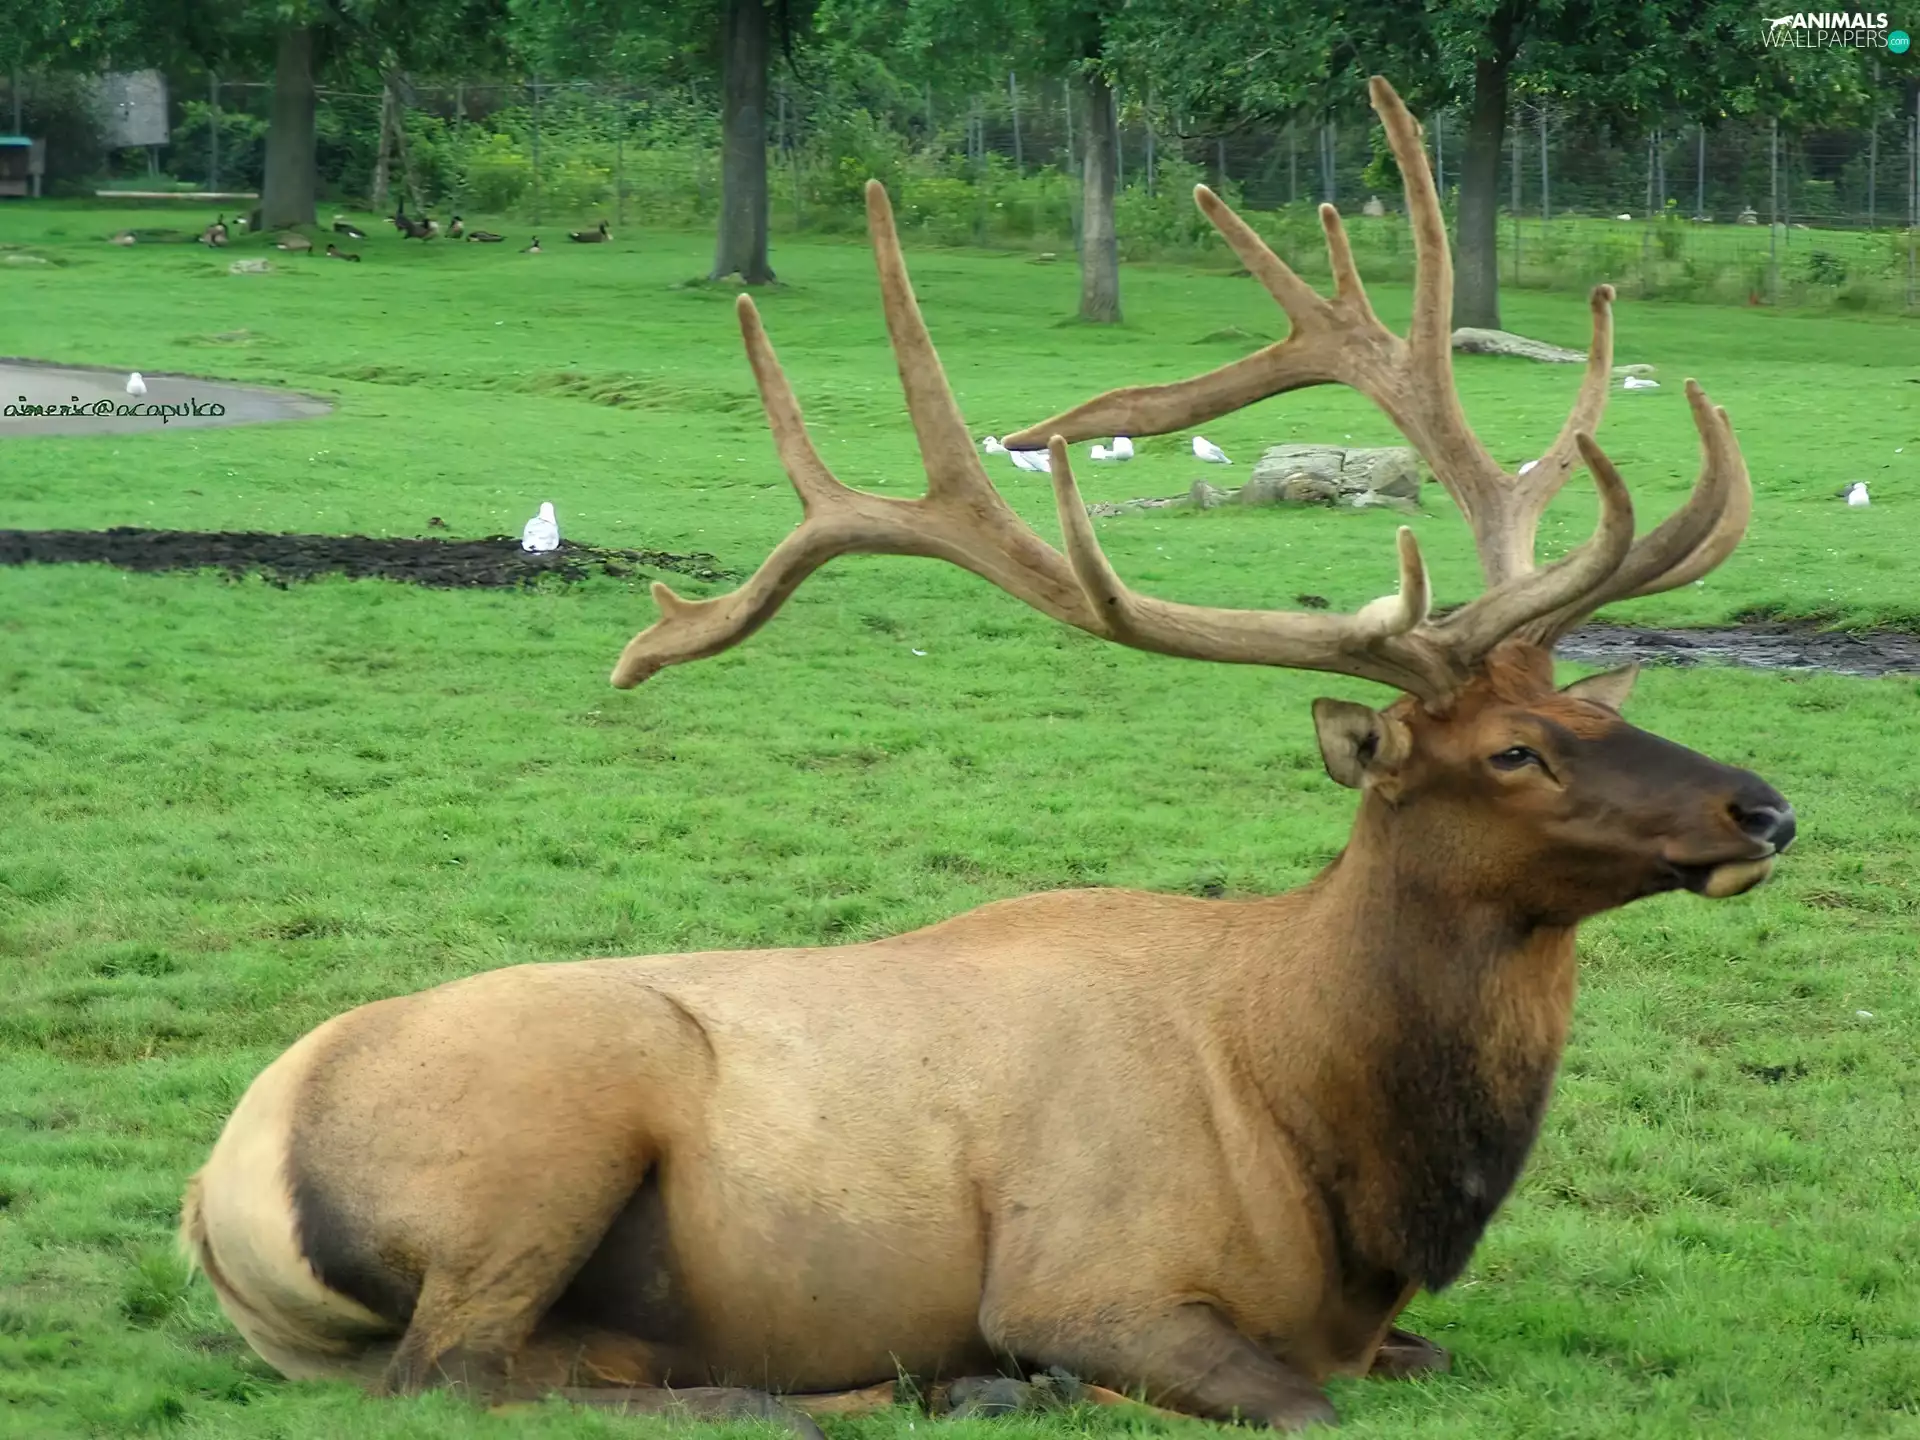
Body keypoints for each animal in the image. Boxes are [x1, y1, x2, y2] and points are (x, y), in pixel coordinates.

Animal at [179, 79, 1793, 1433]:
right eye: (1515, 752)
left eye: (1600, 707)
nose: (1763, 807)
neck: (1346, 1166)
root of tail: (214, 1190)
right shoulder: (1089, 1277)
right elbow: (1294, 1404)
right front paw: (1027, 1376)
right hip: (543, 1135)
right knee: (465, 1372)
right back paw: (906, 1387)